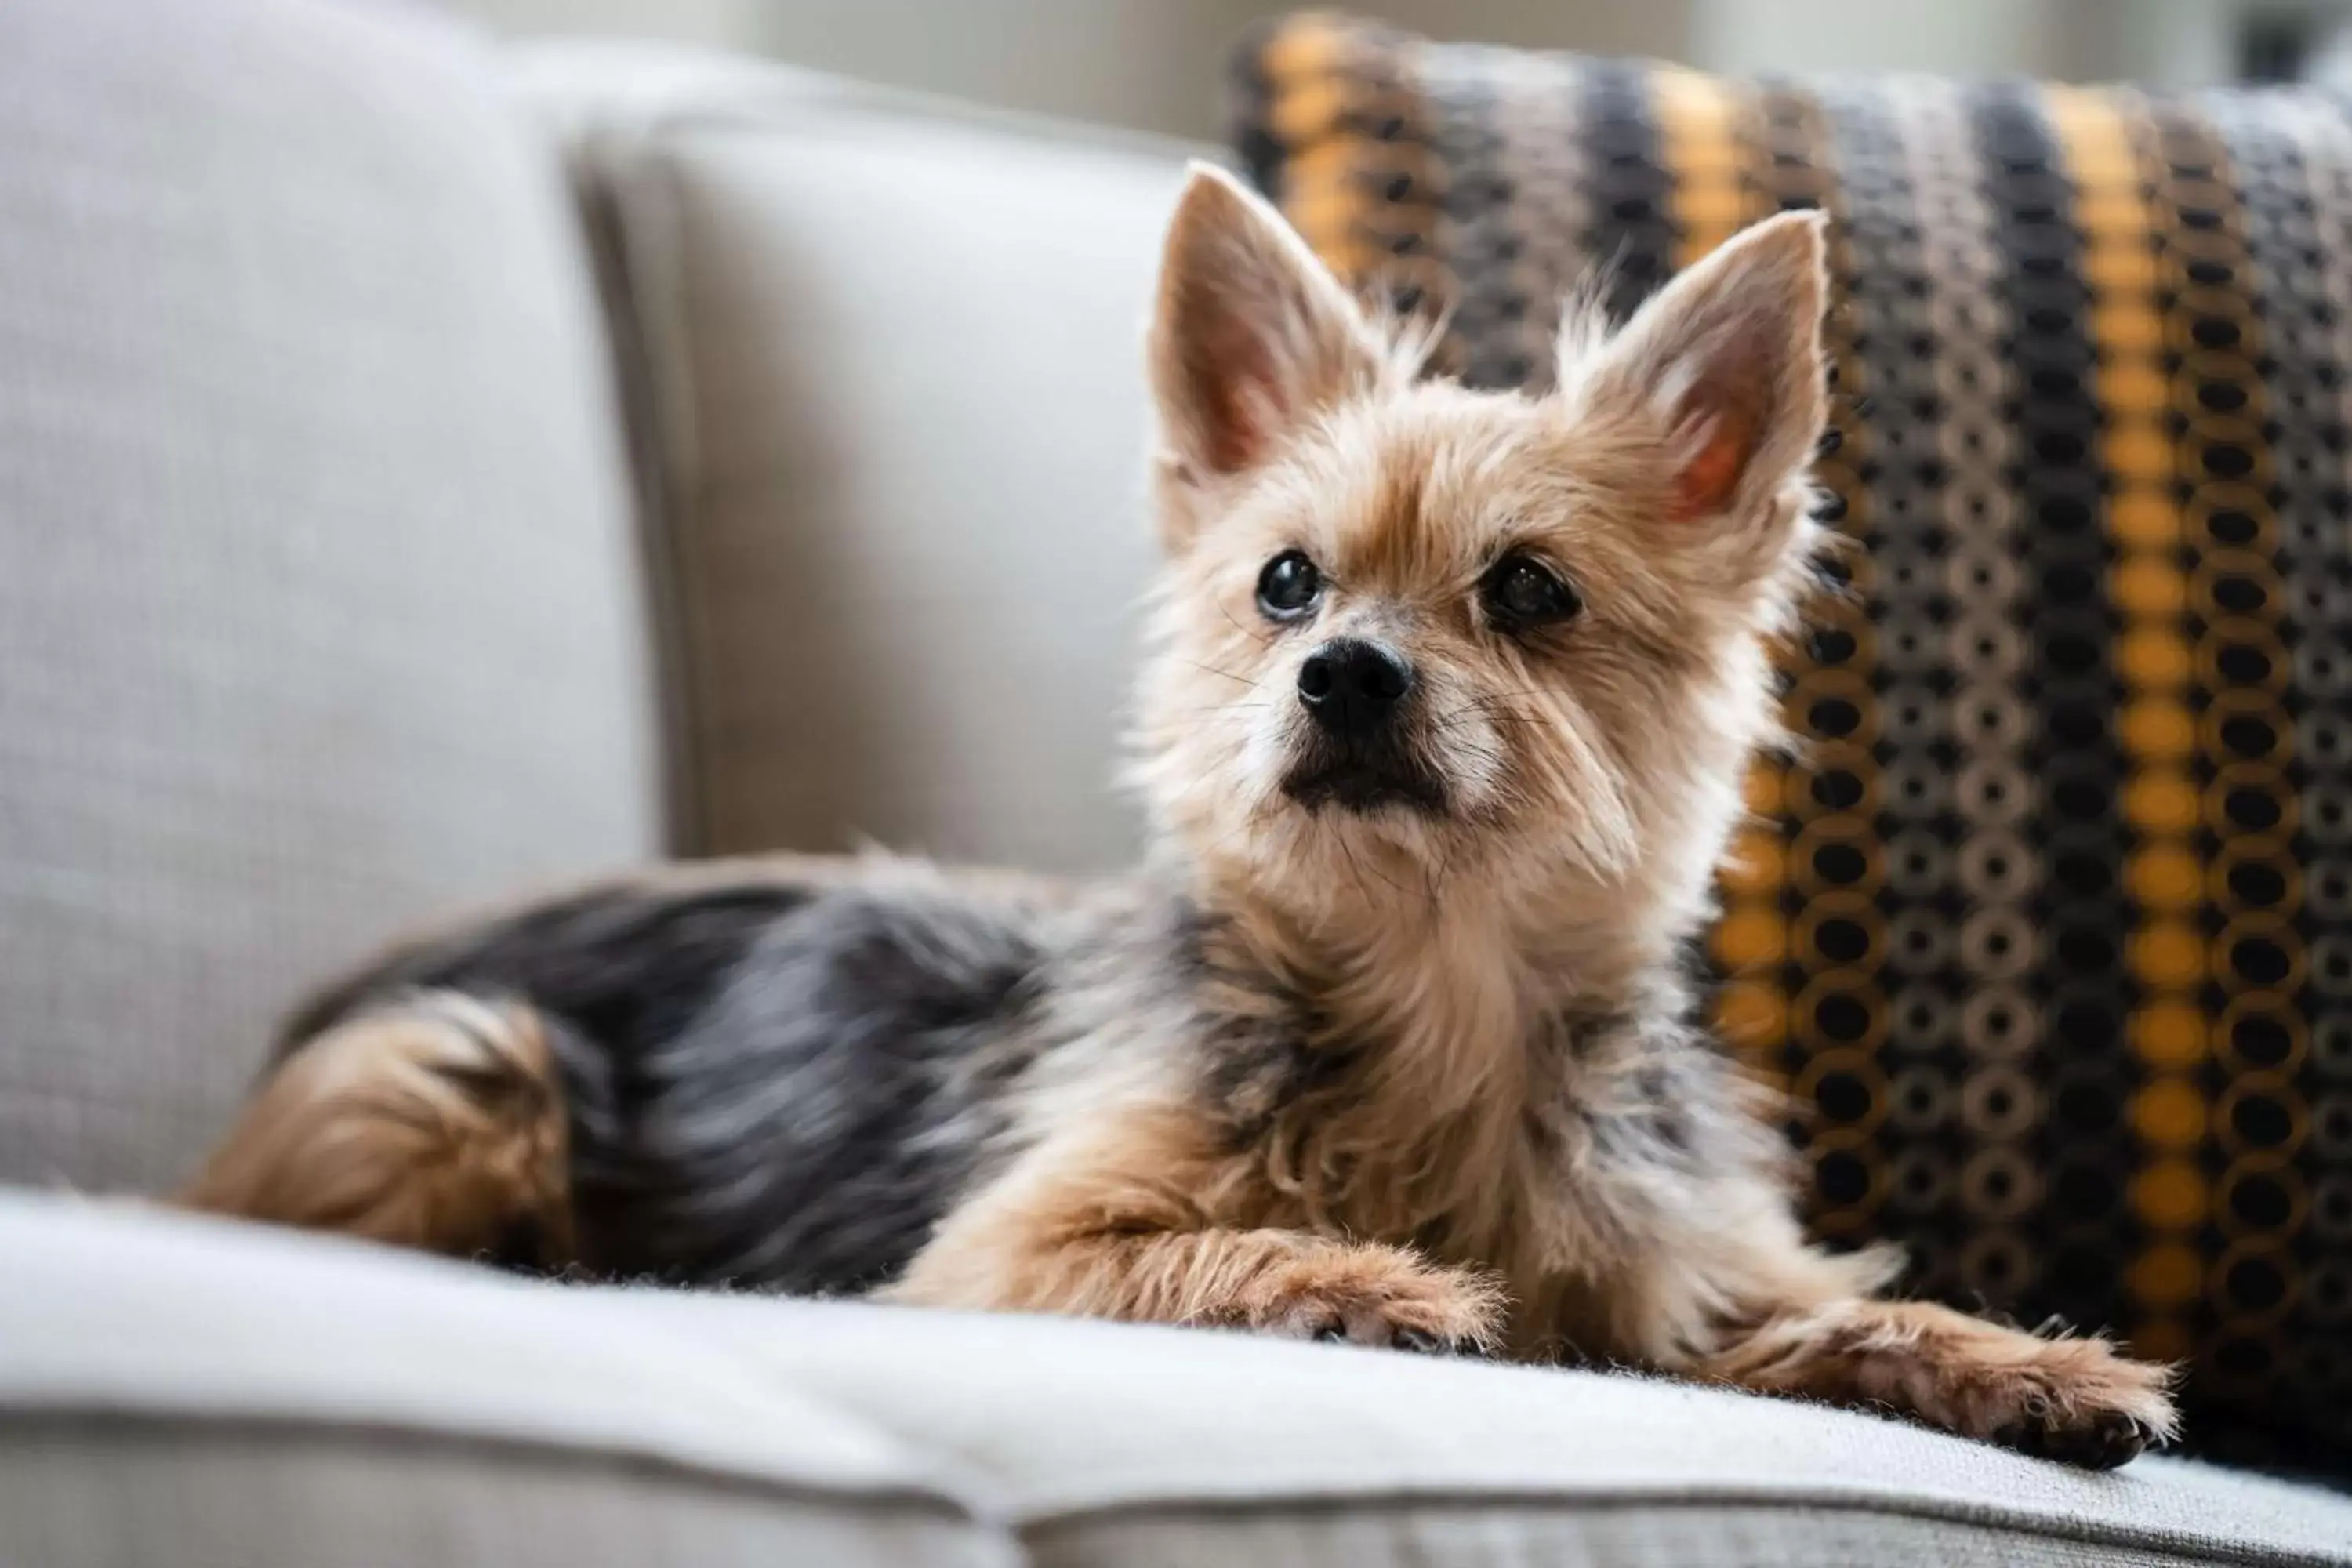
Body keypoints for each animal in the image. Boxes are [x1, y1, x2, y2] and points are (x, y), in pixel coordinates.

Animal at [193, 165, 2173, 1467]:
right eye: (1287, 582)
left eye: (1530, 592)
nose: (1346, 676)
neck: (1426, 990)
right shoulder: (1013, 1245)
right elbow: (1202, 1246)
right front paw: (1365, 1279)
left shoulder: (1677, 1271)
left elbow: (1810, 1306)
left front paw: (2025, 1361)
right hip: (454, 1065)